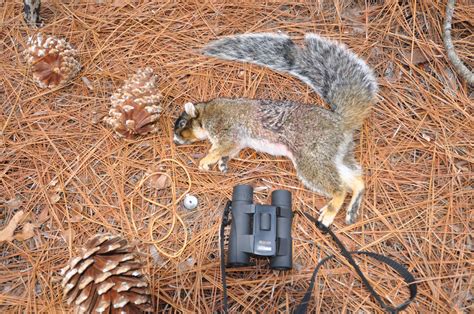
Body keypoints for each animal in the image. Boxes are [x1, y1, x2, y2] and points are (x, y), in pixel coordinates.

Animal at [174, 33, 378, 227]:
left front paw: (206, 160)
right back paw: (353, 204)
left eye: (183, 123)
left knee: (340, 188)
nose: (175, 140)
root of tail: (340, 121)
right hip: (335, 153)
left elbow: (220, 147)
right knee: (356, 179)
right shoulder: (238, 141)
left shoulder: (226, 128)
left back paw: (331, 210)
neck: (206, 112)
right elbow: (231, 150)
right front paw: (223, 162)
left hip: (312, 156)